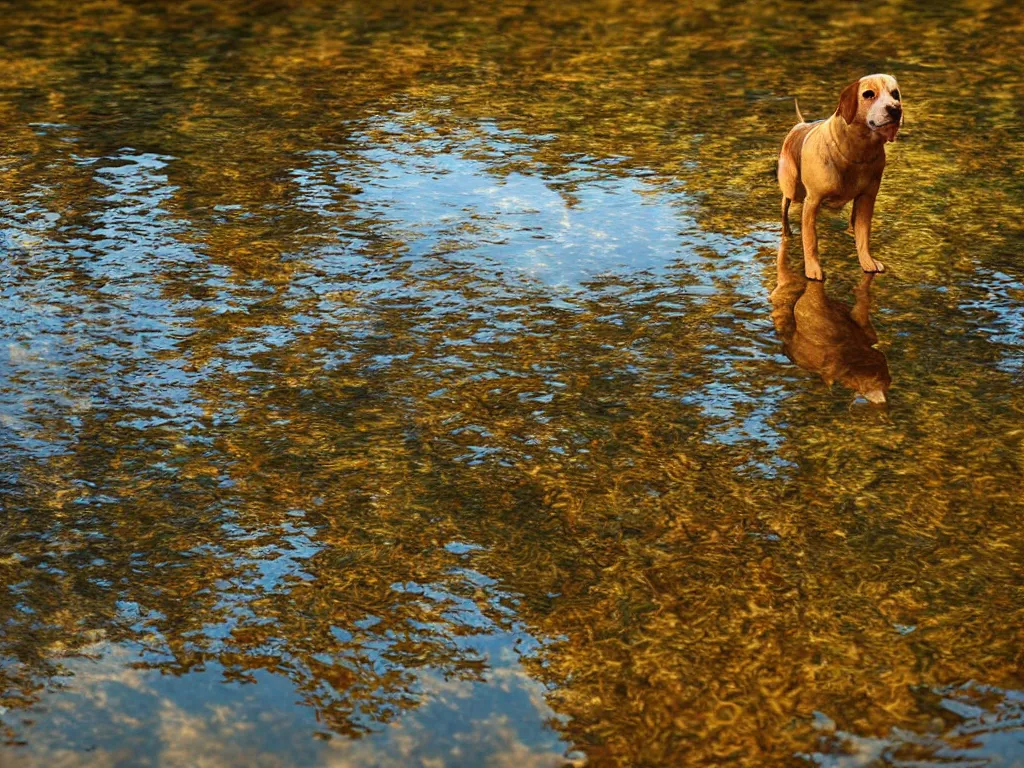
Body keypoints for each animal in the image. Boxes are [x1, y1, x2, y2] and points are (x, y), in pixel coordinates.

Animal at [778, 72, 901, 280]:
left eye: (895, 94)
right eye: (869, 94)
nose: (895, 109)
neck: (857, 153)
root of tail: (799, 125)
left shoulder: (867, 198)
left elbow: (863, 235)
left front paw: (867, 261)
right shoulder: (812, 202)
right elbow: (810, 240)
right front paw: (812, 269)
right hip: (792, 189)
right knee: (784, 206)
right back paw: (786, 233)